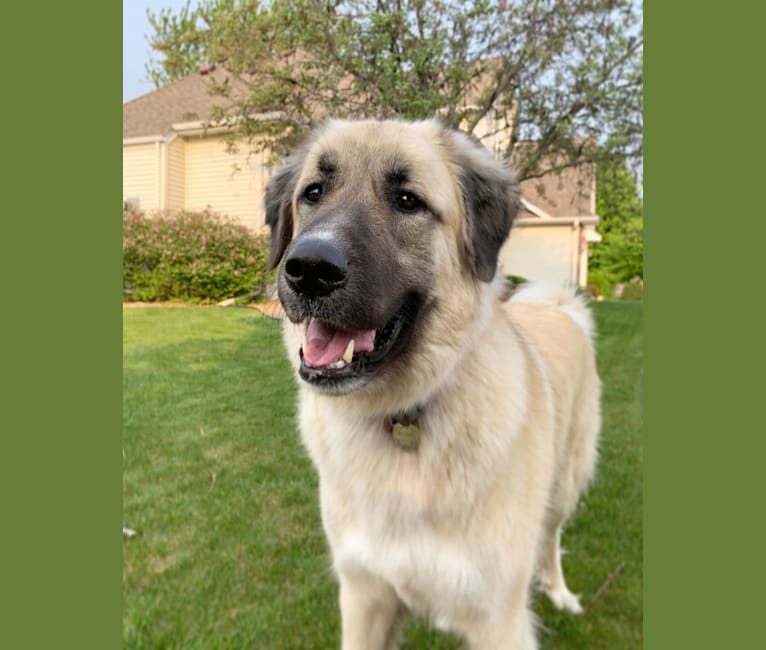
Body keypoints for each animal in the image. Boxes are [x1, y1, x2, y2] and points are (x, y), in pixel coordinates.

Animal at [268, 117, 604, 648]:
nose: (309, 270)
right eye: (314, 192)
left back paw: (560, 591)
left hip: (565, 483)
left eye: (408, 200)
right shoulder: (365, 596)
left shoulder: (498, 618)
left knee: (551, 538)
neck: (404, 416)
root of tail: (557, 307)